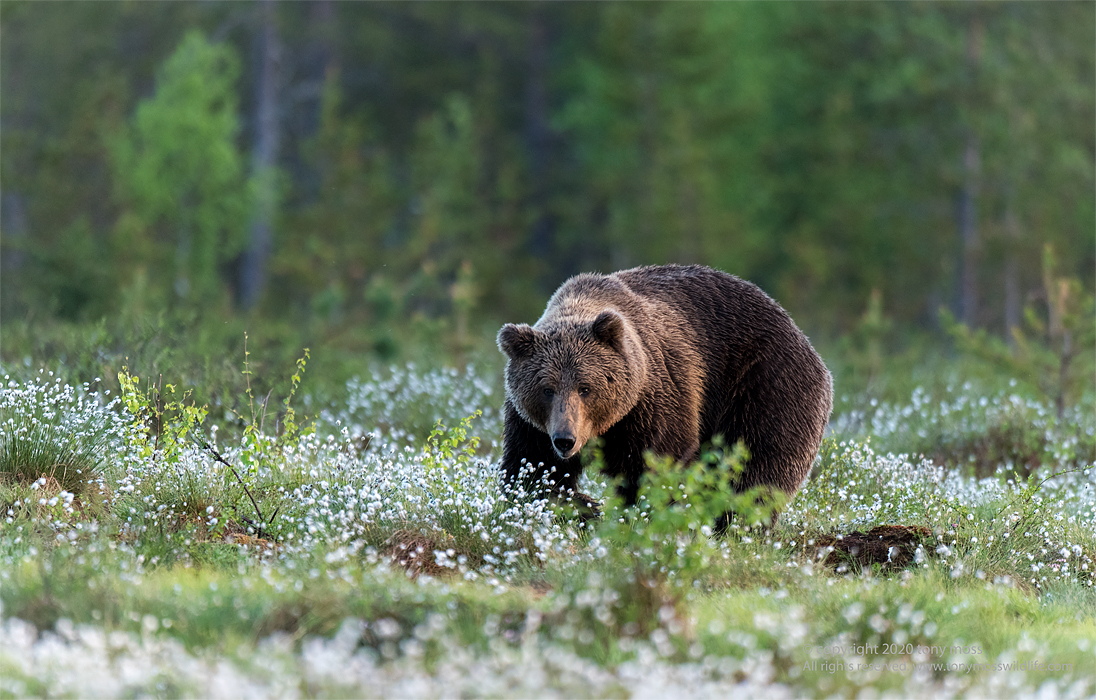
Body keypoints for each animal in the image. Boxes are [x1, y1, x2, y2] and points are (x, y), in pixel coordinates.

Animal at [497, 265, 828, 523]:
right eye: (547, 389)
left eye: (586, 388)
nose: (565, 440)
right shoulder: (532, 424)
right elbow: (530, 472)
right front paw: (586, 506)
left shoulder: (653, 401)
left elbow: (659, 464)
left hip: (765, 383)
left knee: (754, 467)